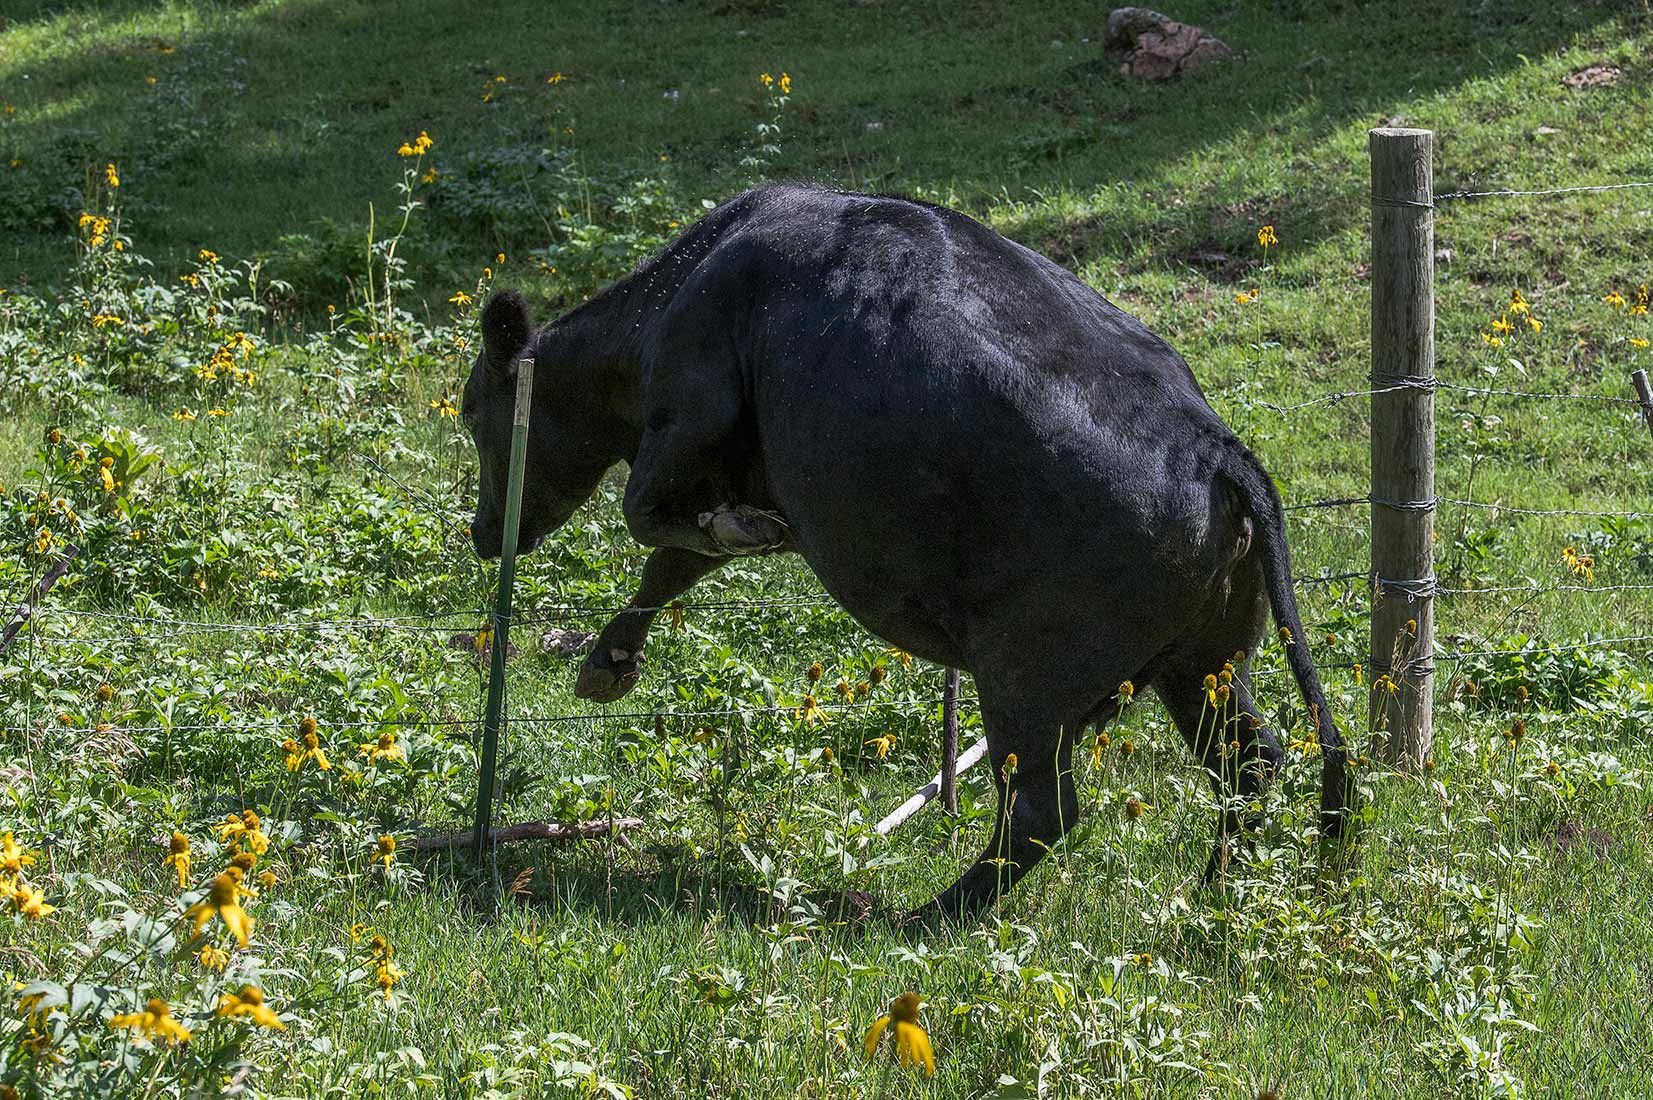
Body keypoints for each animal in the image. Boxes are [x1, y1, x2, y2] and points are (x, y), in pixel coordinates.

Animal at [461, 182, 1351, 920]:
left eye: (472, 413)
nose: (481, 534)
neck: (681, 288)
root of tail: (1218, 453)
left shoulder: (689, 421)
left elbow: (650, 521)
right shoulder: (738, 470)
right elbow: (672, 562)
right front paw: (609, 659)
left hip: (1027, 678)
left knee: (1042, 811)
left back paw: (930, 916)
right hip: (1202, 664)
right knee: (1250, 763)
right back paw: (1212, 892)